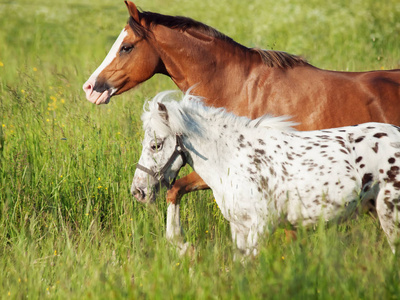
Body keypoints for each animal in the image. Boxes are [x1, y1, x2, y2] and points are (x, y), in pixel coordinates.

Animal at [133, 91, 400, 255]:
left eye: (156, 145)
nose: (138, 191)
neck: (234, 159)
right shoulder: (239, 229)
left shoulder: (260, 228)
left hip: (390, 215)